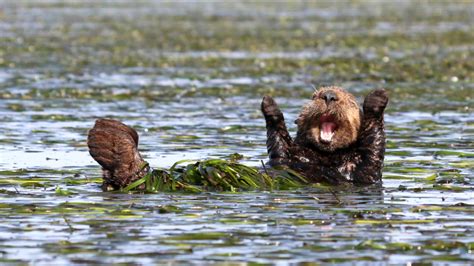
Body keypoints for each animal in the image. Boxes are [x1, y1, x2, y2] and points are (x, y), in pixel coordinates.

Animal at [87, 86, 386, 190]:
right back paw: (109, 139)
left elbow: (373, 145)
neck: (321, 156)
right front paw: (270, 106)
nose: (329, 96)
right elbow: (278, 140)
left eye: (349, 101)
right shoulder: (285, 155)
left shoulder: (362, 170)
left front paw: (377, 100)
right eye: (315, 94)